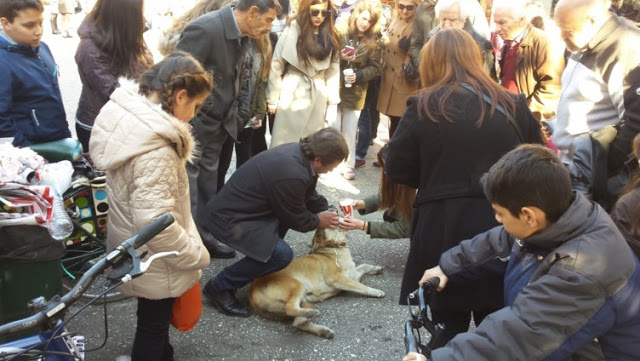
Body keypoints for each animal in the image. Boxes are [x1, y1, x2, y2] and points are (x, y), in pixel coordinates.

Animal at [249, 228, 384, 338]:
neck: (333, 249)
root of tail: (252, 290)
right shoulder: (337, 279)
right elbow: (362, 286)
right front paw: (376, 291)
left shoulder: (353, 274)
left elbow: (364, 266)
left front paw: (376, 269)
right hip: (298, 286)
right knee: (291, 310)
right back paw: (311, 315)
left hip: (304, 301)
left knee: (298, 323)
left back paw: (322, 330)